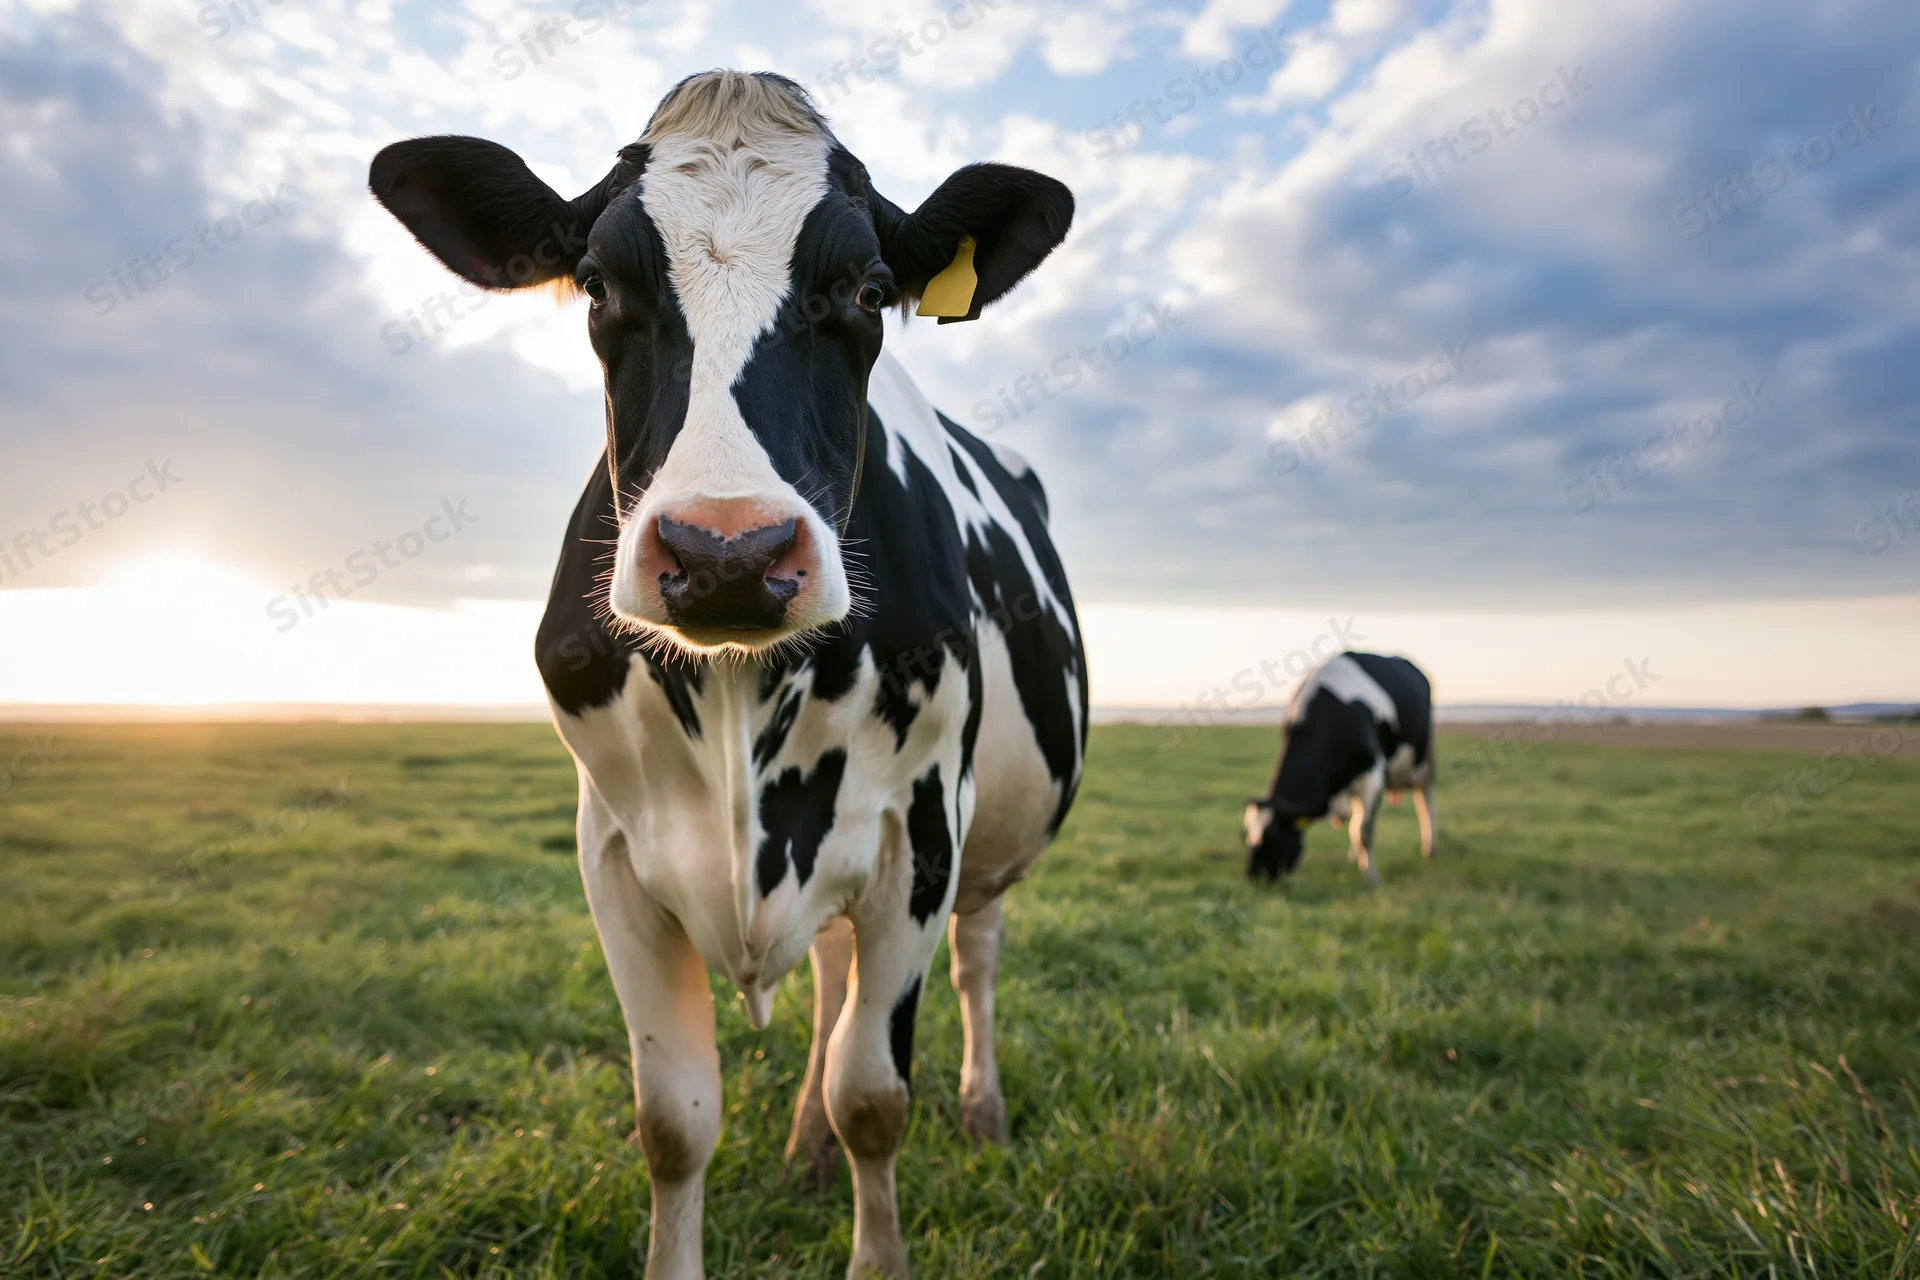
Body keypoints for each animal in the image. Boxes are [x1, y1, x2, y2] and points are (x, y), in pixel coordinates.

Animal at [369, 71, 1085, 1279]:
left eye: (869, 289)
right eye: (599, 283)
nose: (727, 554)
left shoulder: (919, 830)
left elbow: (874, 1097)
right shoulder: (613, 849)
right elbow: (674, 1120)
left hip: (986, 837)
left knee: (976, 959)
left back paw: (982, 1110)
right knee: (831, 982)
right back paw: (801, 1146)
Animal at [1243, 652, 1435, 885]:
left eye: (1272, 836)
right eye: (1246, 835)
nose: (1252, 877)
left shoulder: (1373, 773)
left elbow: (1364, 832)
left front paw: (1371, 878)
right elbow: (1357, 827)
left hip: (1425, 758)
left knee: (1425, 801)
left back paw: (1431, 849)